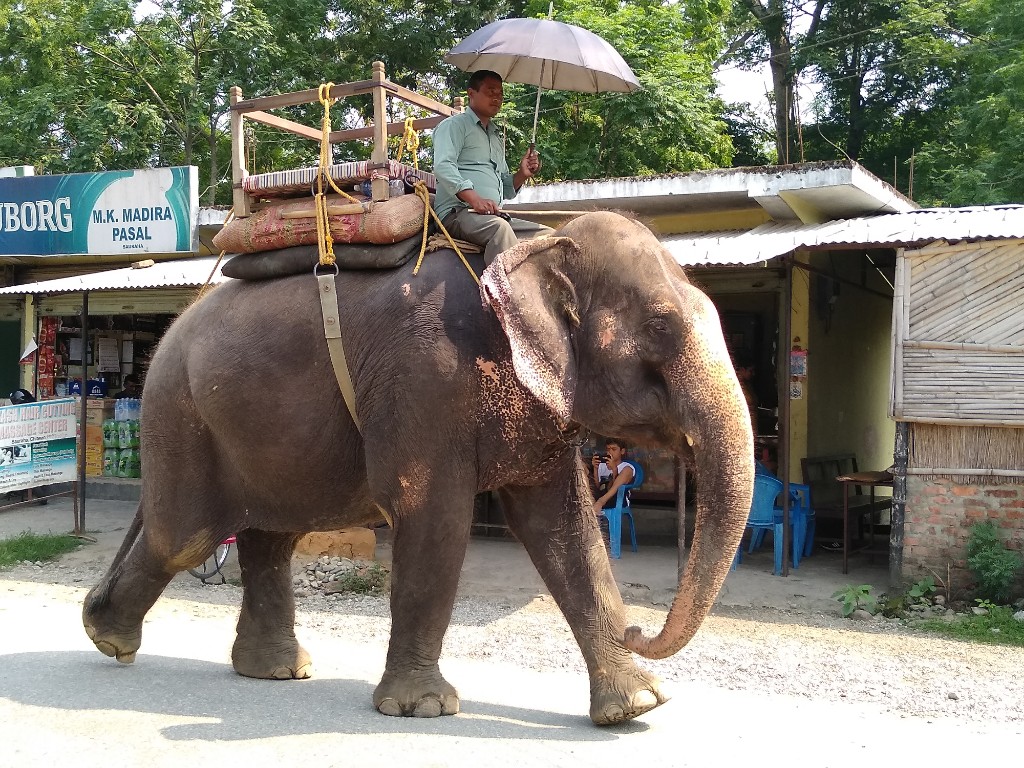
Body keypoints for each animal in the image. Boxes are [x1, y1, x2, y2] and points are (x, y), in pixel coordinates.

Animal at [81, 210, 753, 729]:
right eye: (661, 325)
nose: (641, 630)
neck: (538, 244)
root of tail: (172, 326)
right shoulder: (427, 378)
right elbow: (434, 514)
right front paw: (422, 710)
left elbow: (564, 530)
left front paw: (636, 707)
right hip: (180, 413)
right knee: (185, 538)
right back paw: (107, 635)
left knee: (271, 535)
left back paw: (272, 670)